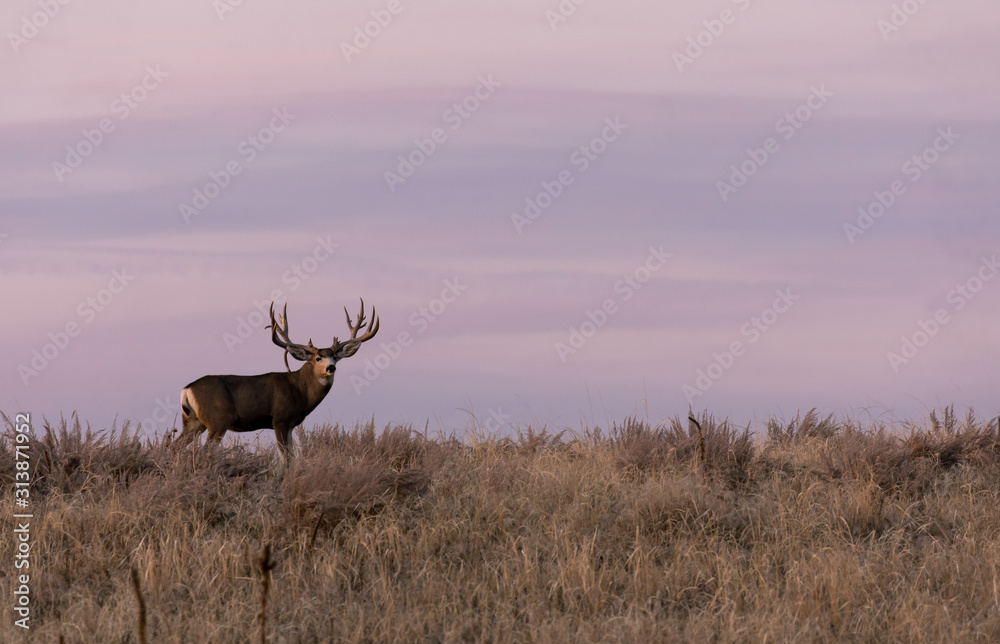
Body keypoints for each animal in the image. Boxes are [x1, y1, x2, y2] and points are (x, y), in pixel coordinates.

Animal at [177, 300, 379, 462]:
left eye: (335, 357)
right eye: (317, 358)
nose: (331, 367)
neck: (299, 390)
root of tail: (187, 389)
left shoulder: (291, 425)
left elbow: (292, 456)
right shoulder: (280, 419)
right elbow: (286, 457)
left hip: (193, 421)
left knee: (174, 445)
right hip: (218, 420)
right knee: (204, 451)